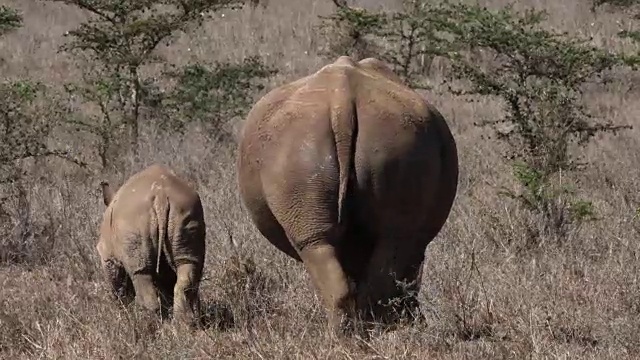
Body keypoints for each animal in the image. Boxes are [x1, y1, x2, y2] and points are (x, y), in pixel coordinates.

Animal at [96, 165, 206, 328]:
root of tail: (161, 196)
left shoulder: (107, 255)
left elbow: (117, 282)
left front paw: (124, 314)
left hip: (134, 220)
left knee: (141, 273)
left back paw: (150, 325)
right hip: (186, 210)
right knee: (188, 265)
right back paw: (185, 326)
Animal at [238, 56, 458, 334]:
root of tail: (341, 103)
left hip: (310, 148)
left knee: (331, 243)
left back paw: (352, 334)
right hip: (357, 144)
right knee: (366, 242)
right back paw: (362, 332)